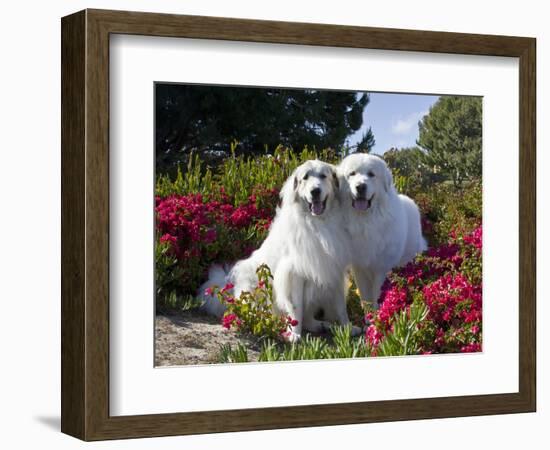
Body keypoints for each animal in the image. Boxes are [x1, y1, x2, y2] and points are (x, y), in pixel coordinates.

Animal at [201, 161, 360, 342]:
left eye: (323, 176)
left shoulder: (335, 270)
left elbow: (341, 306)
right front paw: (294, 334)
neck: (318, 223)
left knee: (309, 317)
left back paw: (320, 324)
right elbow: (296, 308)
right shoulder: (294, 274)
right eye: (305, 177)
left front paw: (348, 328)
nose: (315, 191)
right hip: (254, 286)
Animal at [338, 153, 430, 308]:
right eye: (352, 174)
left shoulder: (382, 268)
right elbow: (365, 297)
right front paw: (369, 314)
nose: (360, 187)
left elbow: (377, 296)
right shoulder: (360, 268)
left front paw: (378, 312)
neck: (365, 220)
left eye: (371, 174)